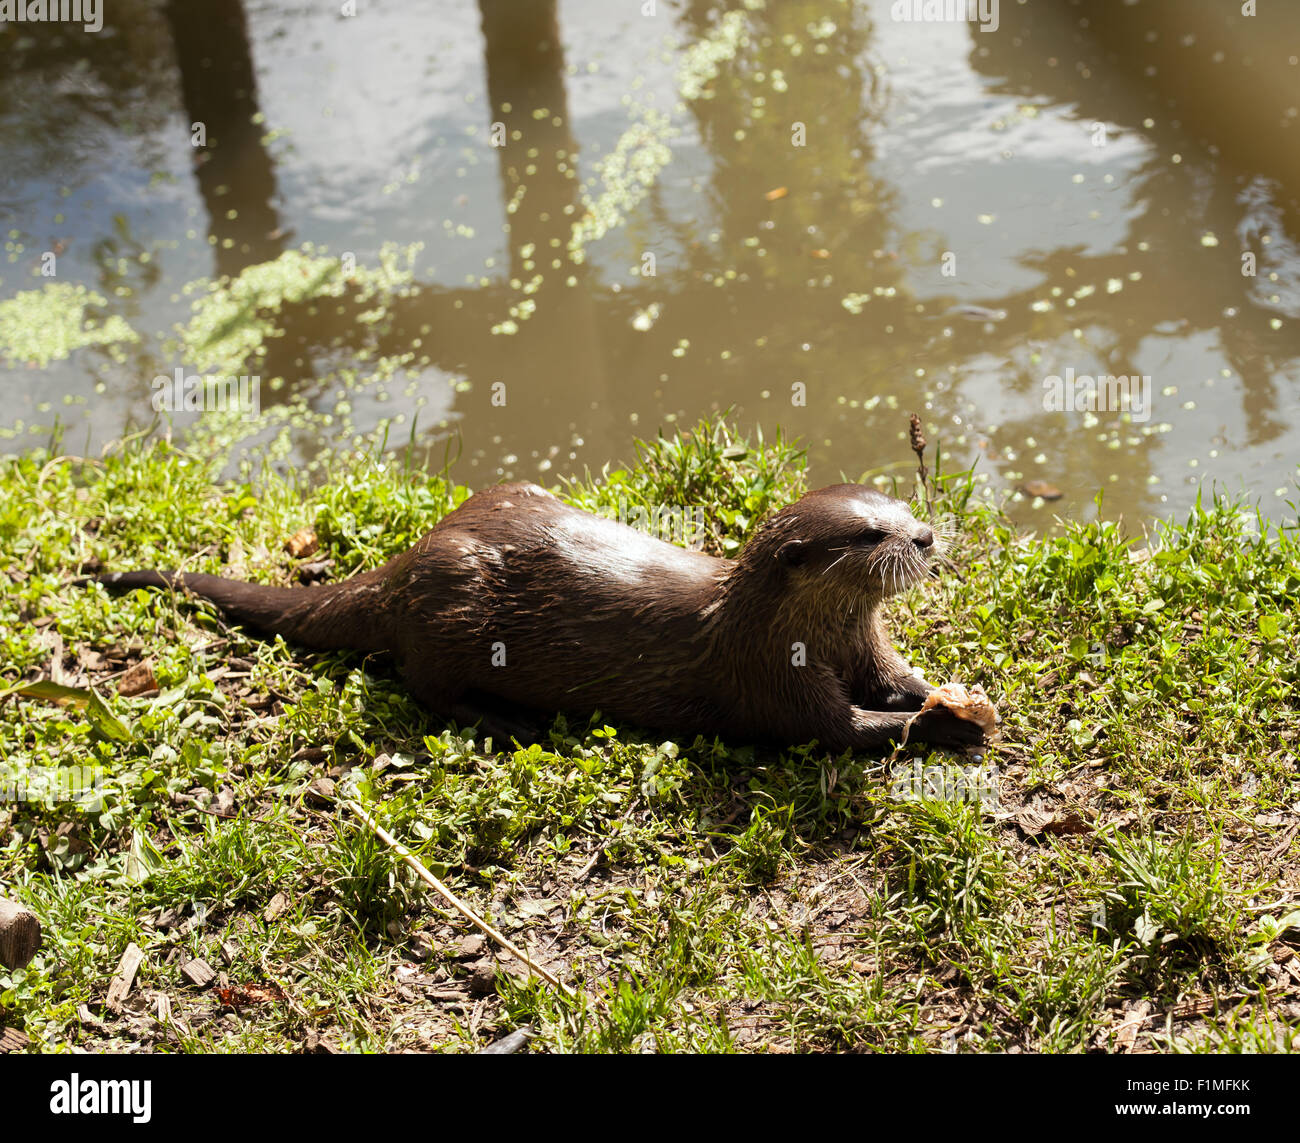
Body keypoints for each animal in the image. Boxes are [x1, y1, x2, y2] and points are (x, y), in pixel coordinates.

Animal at [92, 482, 990, 753]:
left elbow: (896, 678)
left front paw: (949, 694)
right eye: (869, 533)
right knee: (426, 687)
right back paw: (506, 720)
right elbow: (844, 729)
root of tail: (413, 557)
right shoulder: (773, 681)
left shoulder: (864, 646)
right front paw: (942, 725)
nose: (924, 534)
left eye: (901, 504)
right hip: (454, 606)